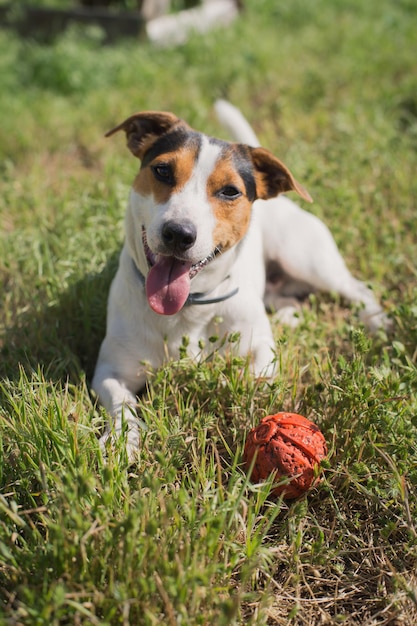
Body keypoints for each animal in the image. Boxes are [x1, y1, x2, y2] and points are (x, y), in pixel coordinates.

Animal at [92, 98, 386, 458]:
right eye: (162, 171)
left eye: (230, 191)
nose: (178, 233)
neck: (190, 306)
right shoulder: (110, 371)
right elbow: (121, 402)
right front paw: (123, 441)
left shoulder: (261, 351)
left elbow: (256, 378)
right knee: (286, 299)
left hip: (310, 262)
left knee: (357, 289)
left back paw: (377, 321)